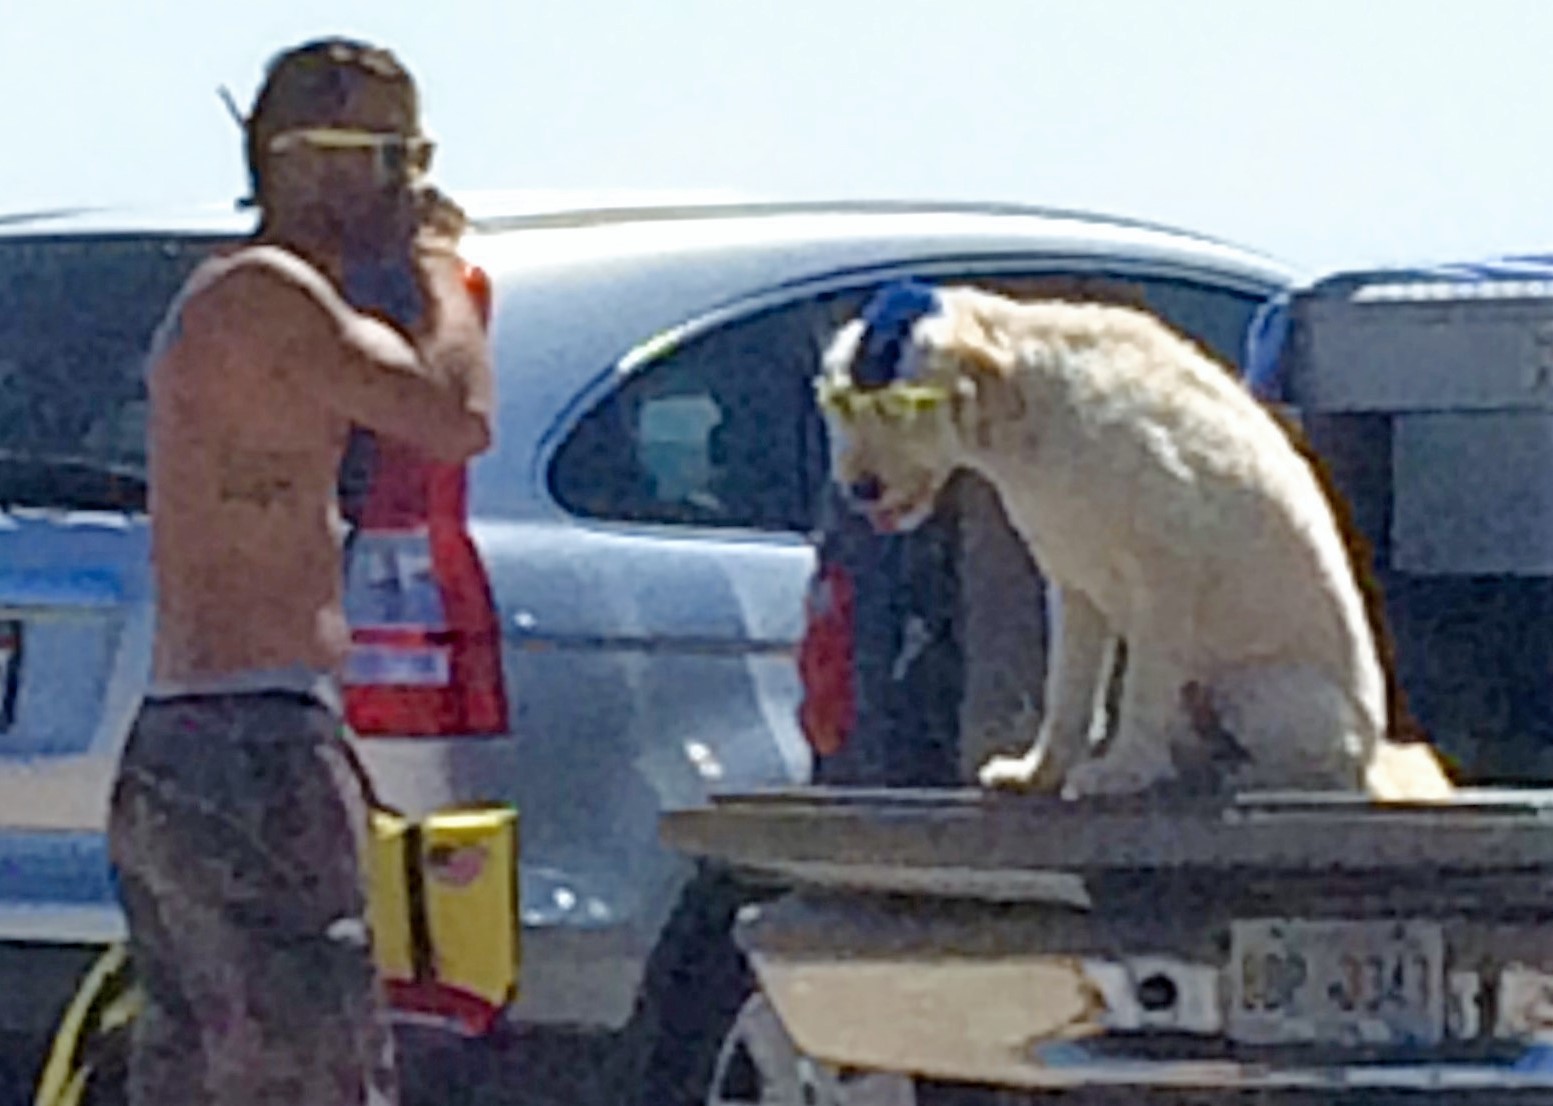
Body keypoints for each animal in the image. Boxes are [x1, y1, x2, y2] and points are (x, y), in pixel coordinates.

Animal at [826, 281, 1453, 801]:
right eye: (841, 408)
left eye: (897, 406)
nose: (860, 488)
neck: (1030, 402)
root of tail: (1373, 753)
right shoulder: (1072, 585)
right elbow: (1068, 689)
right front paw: (1039, 771)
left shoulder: (1165, 572)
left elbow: (1143, 686)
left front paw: (1124, 769)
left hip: (1261, 689)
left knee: (1325, 766)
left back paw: (1254, 774)